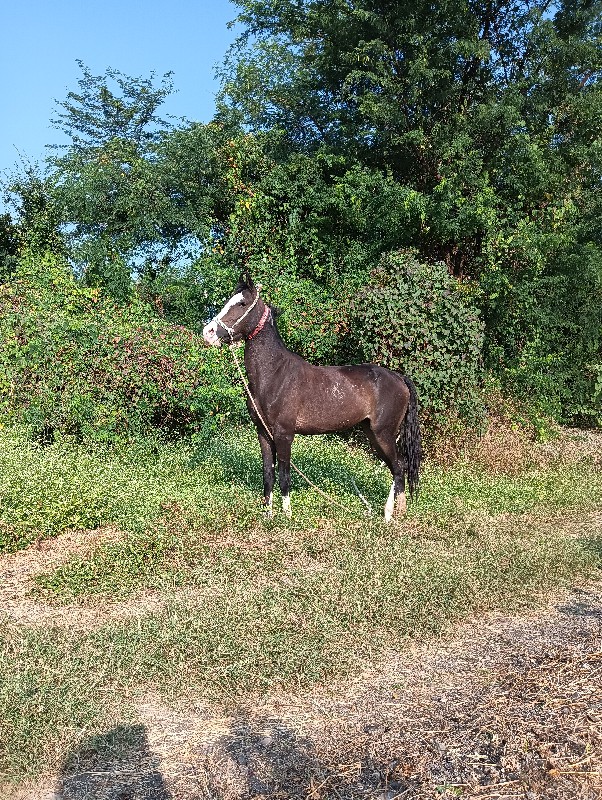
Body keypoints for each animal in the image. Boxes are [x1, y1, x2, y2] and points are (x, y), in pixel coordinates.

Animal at [200, 272, 418, 520]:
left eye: (242, 303)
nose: (208, 333)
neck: (274, 373)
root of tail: (399, 378)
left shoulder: (284, 434)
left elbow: (284, 474)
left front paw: (287, 516)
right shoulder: (263, 434)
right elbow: (268, 474)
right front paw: (268, 515)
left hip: (384, 434)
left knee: (398, 468)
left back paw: (390, 515)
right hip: (373, 434)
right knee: (396, 469)